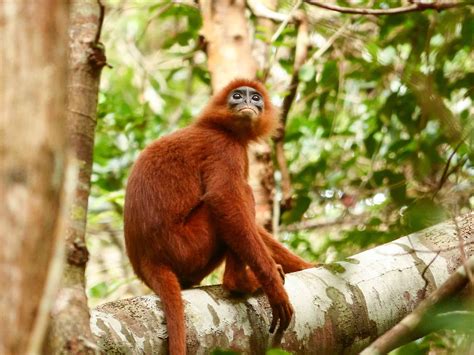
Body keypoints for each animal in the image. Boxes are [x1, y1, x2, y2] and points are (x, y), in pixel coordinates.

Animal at [124, 79, 312, 354]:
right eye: (237, 96)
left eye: (256, 97)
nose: (248, 102)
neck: (219, 127)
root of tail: (149, 259)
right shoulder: (224, 147)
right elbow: (224, 201)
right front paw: (274, 289)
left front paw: (307, 266)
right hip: (188, 247)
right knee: (239, 196)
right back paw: (239, 282)